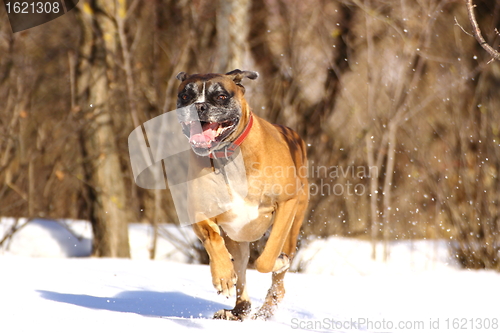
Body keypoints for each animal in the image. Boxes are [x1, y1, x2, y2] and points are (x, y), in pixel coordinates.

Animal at [176, 68, 308, 320]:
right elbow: (212, 238)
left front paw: (278, 262)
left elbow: (266, 259)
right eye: (186, 96)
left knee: (278, 278)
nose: (199, 106)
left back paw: (267, 306)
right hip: (237, 238)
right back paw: (238, 310)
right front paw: (223, 276)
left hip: (294, 223)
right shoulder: (199, 212)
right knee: (241, 272)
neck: (227, 155)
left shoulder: (287, 202)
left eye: (221, 96)